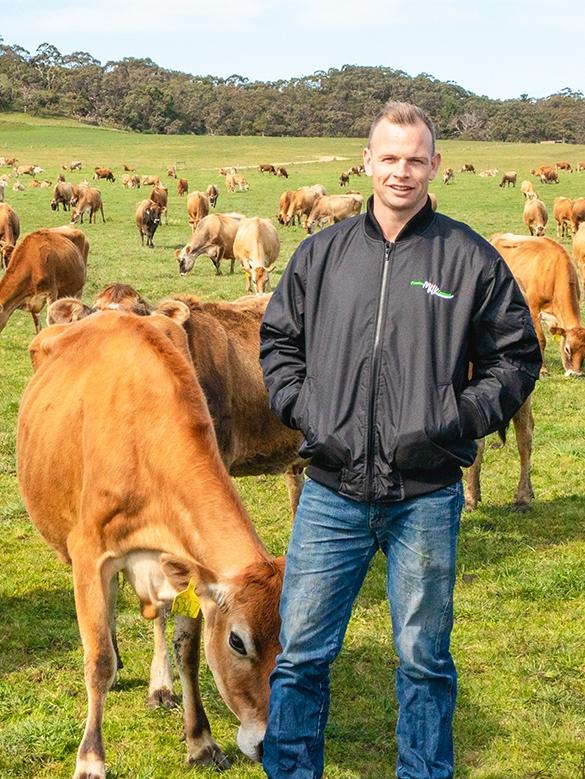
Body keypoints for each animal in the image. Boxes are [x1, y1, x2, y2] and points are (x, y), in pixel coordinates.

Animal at [16, 308, 286, 776]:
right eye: (237, 641)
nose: (267, 745)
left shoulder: (187, 566)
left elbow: (188, 653)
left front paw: (200, 741)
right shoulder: (90, 553)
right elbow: (97, 661)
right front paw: (90, 760)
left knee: (155, 617)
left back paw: (160, 686)